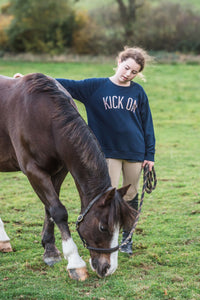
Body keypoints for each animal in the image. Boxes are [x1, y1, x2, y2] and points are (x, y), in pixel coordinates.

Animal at [0, 74, 136, 280]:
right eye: (103, 227)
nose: (108, 268)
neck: (44, 117)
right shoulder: (34, 171)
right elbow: (58, 211)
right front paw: (74, 262)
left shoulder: (59, 171)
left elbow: (49, 209)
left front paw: (49, 249)